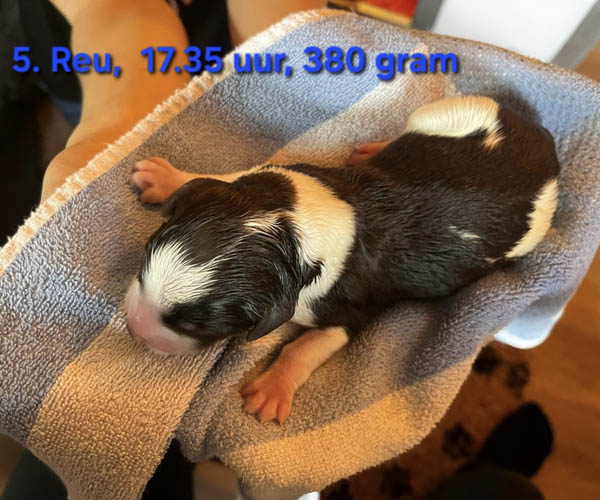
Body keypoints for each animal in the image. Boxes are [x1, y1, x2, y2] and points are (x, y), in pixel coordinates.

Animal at [126, 96, 560, 424]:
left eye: (194, 323)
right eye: (143, 262)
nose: (133, 328)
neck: (290, 229)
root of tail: (546, 142)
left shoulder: (349, 307)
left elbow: (304, 347)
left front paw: (271, 390)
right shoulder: (273, 180)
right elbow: (230, 176)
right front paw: (166, 179)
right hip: (452, 112)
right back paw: (374, 149)